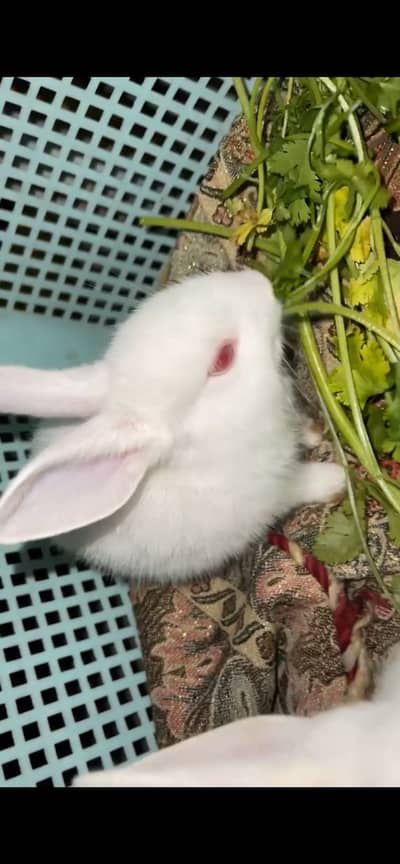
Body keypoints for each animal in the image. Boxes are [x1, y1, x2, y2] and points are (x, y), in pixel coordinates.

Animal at [0, 268, 345, 583]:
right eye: (223, 358)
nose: (261, 282)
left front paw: (315, 434)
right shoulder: (277, 490)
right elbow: (304, 484)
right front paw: (338, 479)